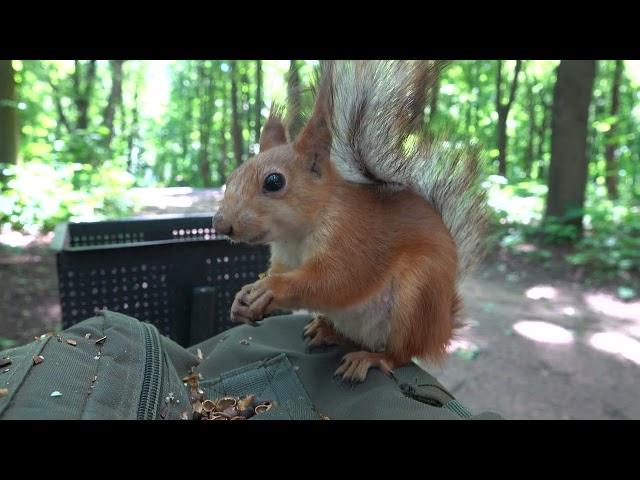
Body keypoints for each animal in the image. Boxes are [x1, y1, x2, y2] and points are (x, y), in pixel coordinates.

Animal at [212, 61, 488, 382]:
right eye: (232, 177)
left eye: (274, 181)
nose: (221, 225)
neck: (296, 235)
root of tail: (441, 330)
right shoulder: (283, 255)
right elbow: (279, 272)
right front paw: (243, 297)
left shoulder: (352, 238)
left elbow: (335, 280)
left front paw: (271, 289)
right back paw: (326, 330)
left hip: (416, 296)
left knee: (400, 354)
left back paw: (370, 358)